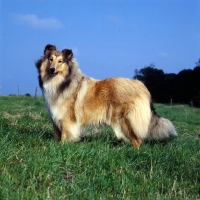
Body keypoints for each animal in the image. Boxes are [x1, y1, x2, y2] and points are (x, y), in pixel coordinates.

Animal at [34, 44, 177, 148]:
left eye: (60, 61)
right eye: (50, 59)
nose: (52, 69)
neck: (60, 82)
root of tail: (142, 86)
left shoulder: (66, 121)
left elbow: (64, 137)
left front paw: (62, 148)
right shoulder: (55, 120)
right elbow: (57, 136)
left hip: (126, 120)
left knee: (138, 140)